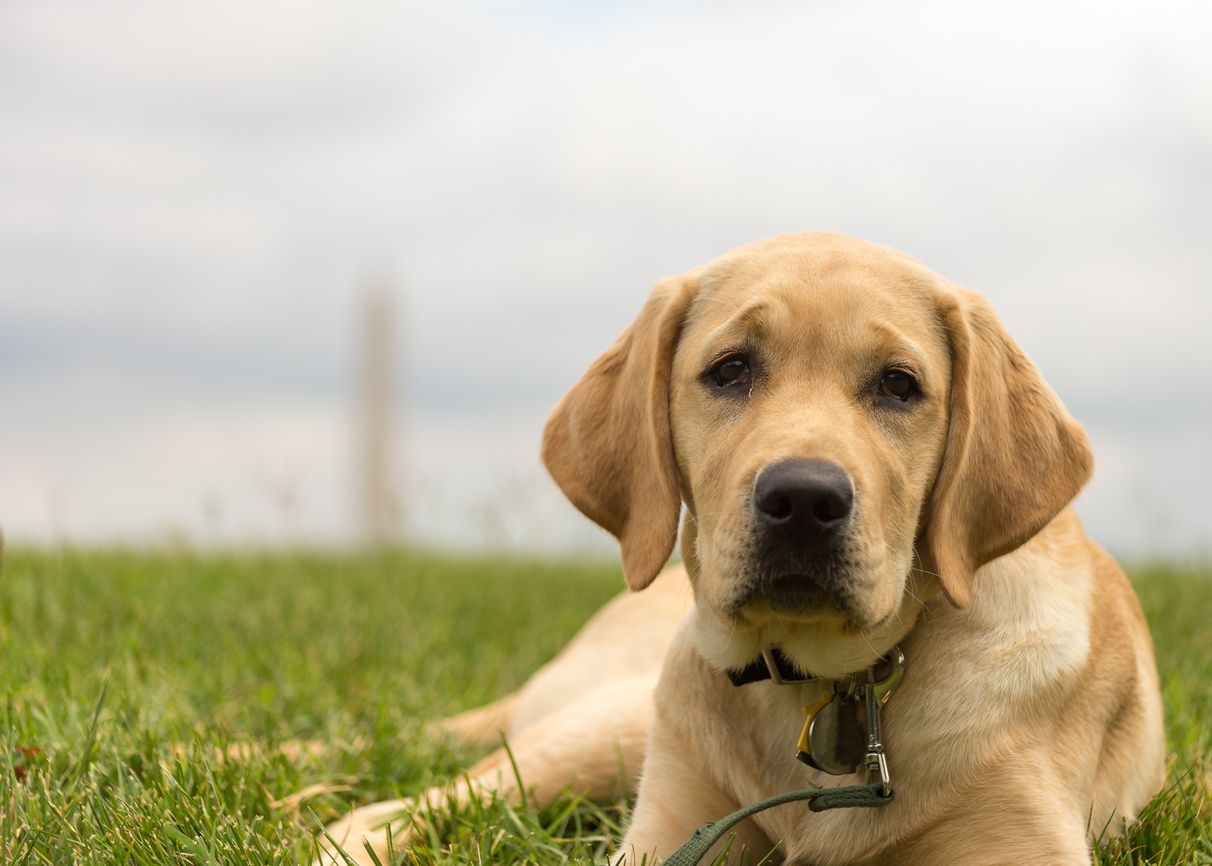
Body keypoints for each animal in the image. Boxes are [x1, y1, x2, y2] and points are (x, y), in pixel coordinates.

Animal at [317, 234, 1168, 866]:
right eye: (731, 370)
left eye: (899, 385)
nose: (804, 500)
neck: (827, 687)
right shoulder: (669, 831)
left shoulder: (1019, 841)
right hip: (616, 724)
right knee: (419, 794)